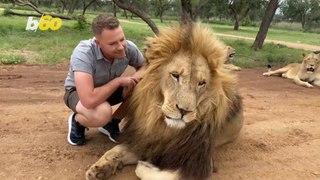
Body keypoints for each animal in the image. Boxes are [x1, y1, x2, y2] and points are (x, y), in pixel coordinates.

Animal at [85, 22, 242, 180]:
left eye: (201, 83)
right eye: (175, 75)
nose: (184, 110)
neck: (165, 129)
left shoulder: (199, 162)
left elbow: (164, 175)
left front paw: (145, 164)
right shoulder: (147, 142)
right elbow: (115, 150)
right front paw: (100, 168)